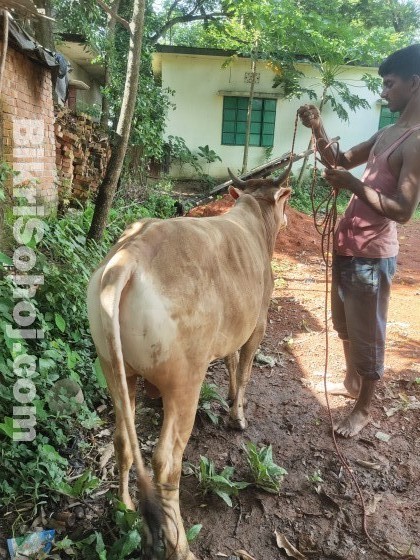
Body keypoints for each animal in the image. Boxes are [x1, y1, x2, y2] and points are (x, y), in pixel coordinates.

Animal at [86, 167, 292, 560]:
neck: (254, 218)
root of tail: (130, 256)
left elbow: (230, 360)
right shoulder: (257, 323)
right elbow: (244, 370)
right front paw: (238, 416)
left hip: (112, 366)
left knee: (122, 437)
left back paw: (125, 506)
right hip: (185, 382)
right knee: (166, 464)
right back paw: (180, 547)